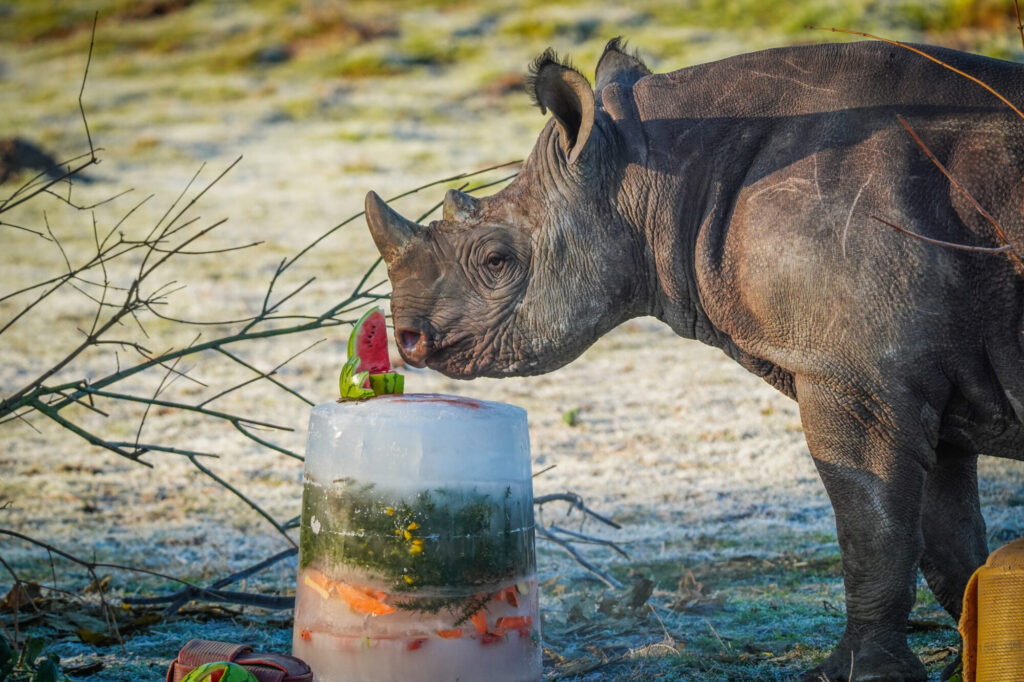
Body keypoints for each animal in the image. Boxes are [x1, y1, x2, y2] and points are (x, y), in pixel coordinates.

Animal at [364, 37, 1024, 681]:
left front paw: (863, 672)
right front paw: (970, 652)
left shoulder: (856, 375)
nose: (409, 339)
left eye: (497, 261)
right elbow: (950, 542)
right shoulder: (913, 377)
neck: (654, 172)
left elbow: (874, 530)